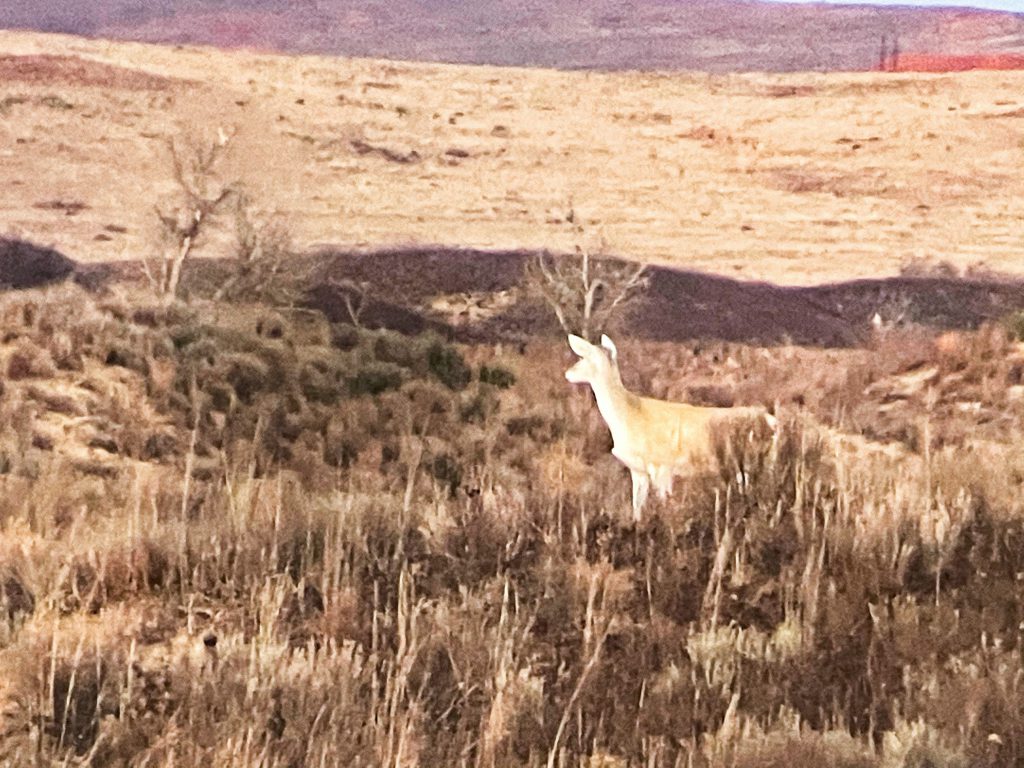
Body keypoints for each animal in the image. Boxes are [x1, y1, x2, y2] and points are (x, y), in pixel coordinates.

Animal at [565, 334, 775, 520]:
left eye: (583, 357)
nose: (568, 373)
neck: (629, 416)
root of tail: (771, 420)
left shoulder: (662, 467)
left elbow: (664, 505)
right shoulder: (638, 470)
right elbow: (637, 508)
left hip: (751, 464)